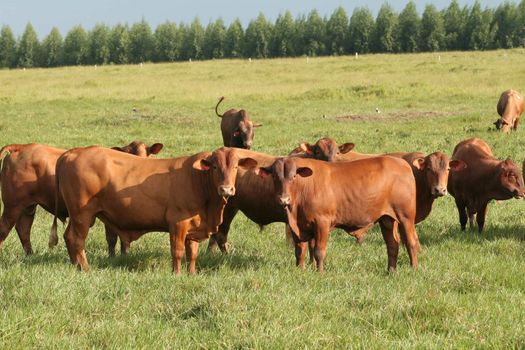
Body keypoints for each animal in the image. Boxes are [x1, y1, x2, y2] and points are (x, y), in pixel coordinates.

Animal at [0, 141, 162, 256]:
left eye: (147, 153)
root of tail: (20, 147)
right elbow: (112, 238)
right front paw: (114, 258)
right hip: (12, 206)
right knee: (5, 229)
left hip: (27, 207)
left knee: (24, 229)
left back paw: (30, 255)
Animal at [51, 146, 258, 274]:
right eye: (215, 166)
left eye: (236, 166)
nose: (226, 189)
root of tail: (73, 152)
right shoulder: (177, 223)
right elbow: (177, 251)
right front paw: (177, 274)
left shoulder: (194, 227)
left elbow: (192, 254)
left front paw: (192, 274)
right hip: (82, 214)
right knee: (76, 240)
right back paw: (85, 269)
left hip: (77, 215)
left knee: (68, 237)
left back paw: (76, 266)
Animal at [256, 157, 420, 274]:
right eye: (275, 177)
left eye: (294, 177)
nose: (284, 199)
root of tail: (401, 163)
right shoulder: (297, 226)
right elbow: (299, 250)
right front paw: (299, 270)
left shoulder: (322, 222)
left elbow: (319, 251)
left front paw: (320, 272)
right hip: (386, 219)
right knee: (392, 244)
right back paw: (391, 271)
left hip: (406, 217)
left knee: (411, 242)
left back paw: (413, 269)